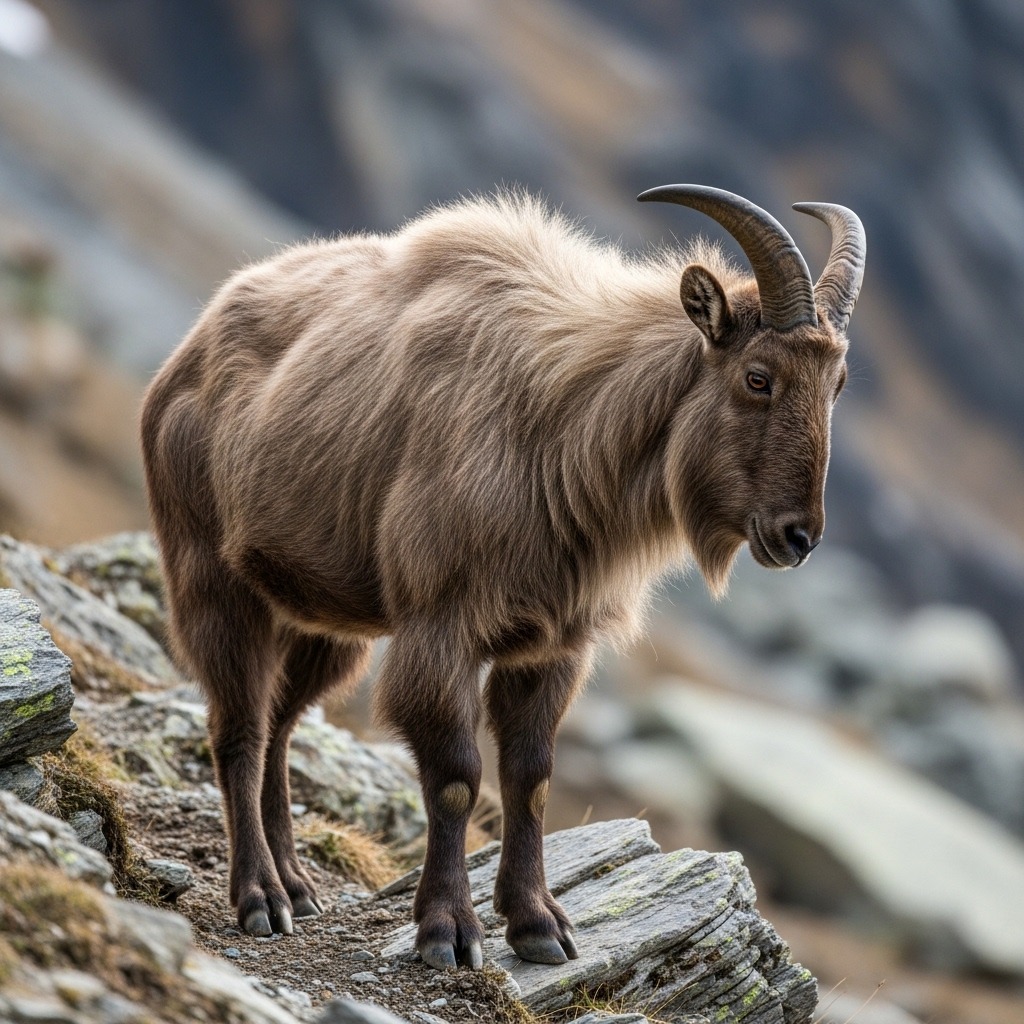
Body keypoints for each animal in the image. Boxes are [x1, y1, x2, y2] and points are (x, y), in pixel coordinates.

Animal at [141, 184, 865, 970]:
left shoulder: (552, 647)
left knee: (279, 727)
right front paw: (449, 932)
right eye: (759, 377)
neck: (557, 433)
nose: (798, 537)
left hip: (324, 622)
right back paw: (260, 899)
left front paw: (539, 925)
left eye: (837, 385)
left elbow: (531, 777)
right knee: (239, 730)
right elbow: (458, 777)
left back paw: (298, 888)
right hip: (213, 580)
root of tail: (186, 354)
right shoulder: (441, 627)